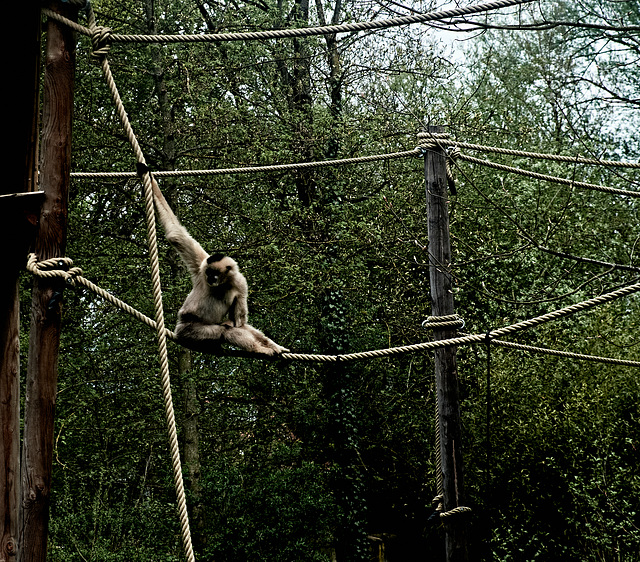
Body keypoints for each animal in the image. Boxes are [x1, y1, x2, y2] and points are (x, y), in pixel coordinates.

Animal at [149, 175, 288, 354]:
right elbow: (176, 235)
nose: (210, 278)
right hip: (189, 330)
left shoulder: (241, 283)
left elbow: (239, 322)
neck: (222, 283)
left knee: (231, 327)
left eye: (214, 273)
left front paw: (272, 344)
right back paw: (259, 349)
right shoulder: (201, 265)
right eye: (208, 273)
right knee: (224, 331)